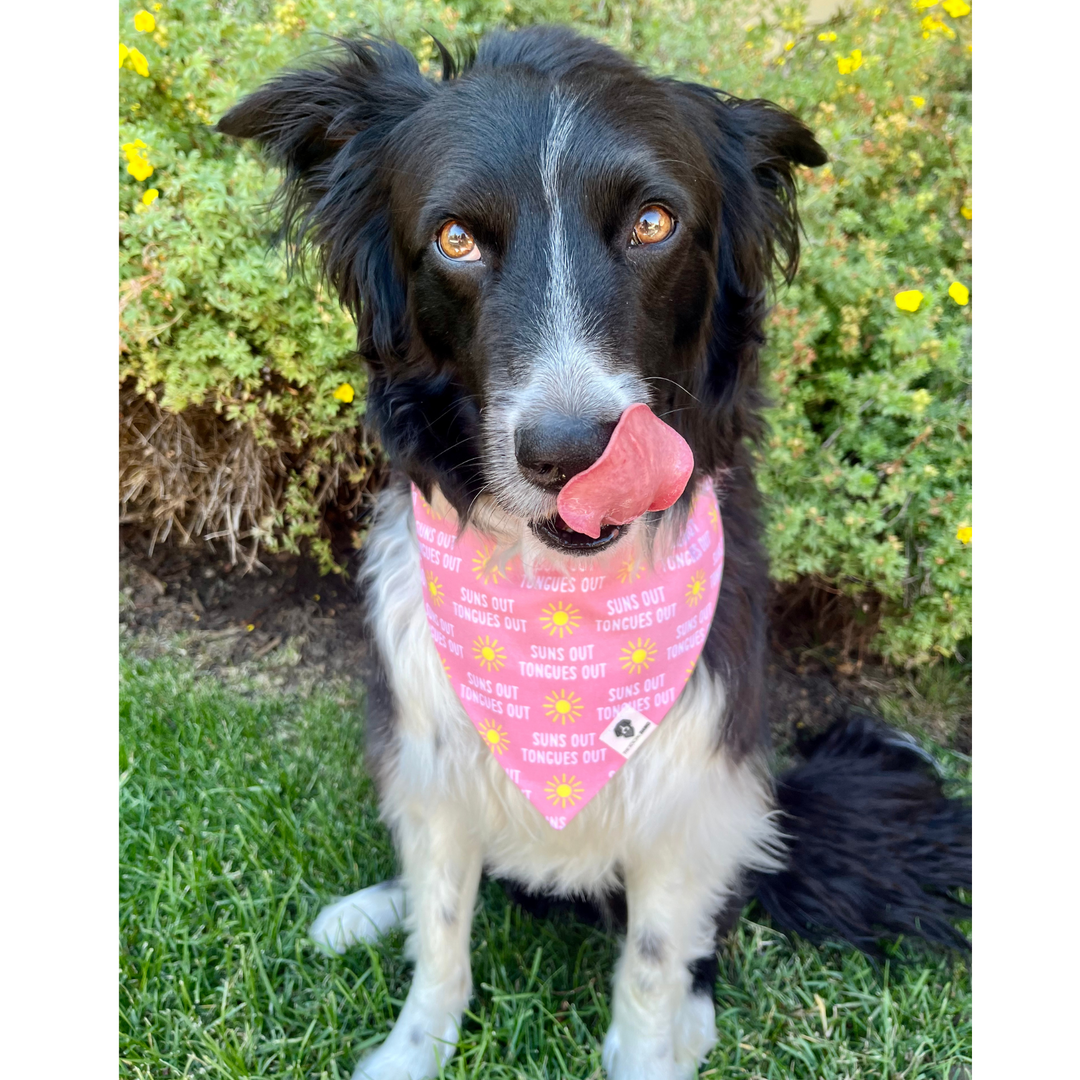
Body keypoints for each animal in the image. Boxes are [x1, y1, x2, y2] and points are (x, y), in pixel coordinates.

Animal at [219, 27, 972, 1080]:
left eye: (654, 222)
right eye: (455, 240)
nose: (570, 453)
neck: (562, 610)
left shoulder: (690, 790)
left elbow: (653, 964)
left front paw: (653, 1047)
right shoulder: (431, 759)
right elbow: (443, 938)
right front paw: (413, 1046)